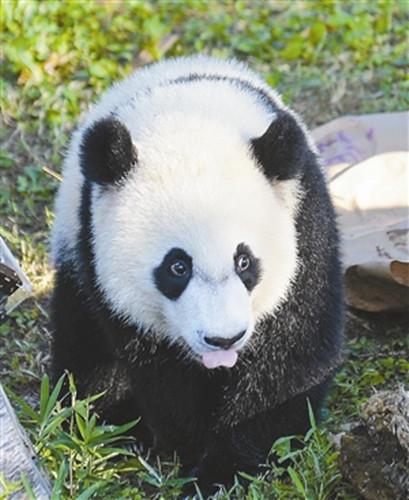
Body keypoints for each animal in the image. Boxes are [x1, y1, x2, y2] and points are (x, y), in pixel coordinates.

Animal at [51, 55, 344, 496]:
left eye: (244, 262)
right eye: (178, 267)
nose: (223, 339)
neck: (191, 116)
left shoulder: (304, 222)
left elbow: (290, 355)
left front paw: (224, 468)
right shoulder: (98, 256)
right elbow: (156, 367)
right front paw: (185, 446)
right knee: (82, 343)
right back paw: (110, 425)